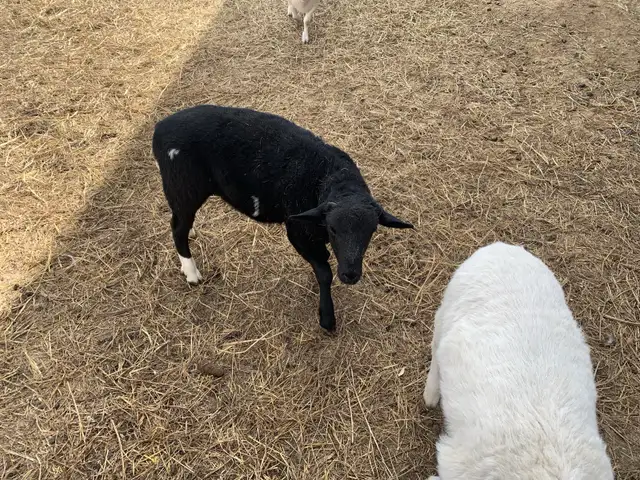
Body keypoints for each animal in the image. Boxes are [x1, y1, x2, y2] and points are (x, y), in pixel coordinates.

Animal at [152, 104, 413, 332]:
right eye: (333, 229)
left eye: (372, 231)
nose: (350, 275)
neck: (329, 177)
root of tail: (160, 128)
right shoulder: (296, 231)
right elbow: (324, 273)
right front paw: (327, 318)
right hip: (184, 187)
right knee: (177, 227)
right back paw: (191, 273)